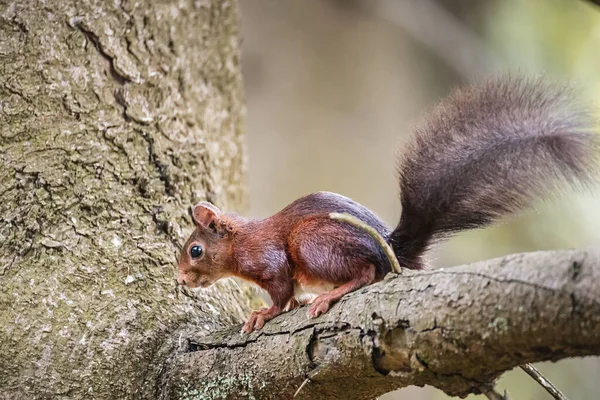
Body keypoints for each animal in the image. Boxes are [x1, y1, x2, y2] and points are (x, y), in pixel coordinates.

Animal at [176, 76, 596, 332]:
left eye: (195, 250)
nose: (180, 279)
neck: (241, 241)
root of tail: (390, 247)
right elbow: (291, 294)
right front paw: (288, 304)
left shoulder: (271, 258)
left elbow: (280, 292)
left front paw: (264, 313)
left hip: (312, 242)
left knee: (365, 272)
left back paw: (331, 294)